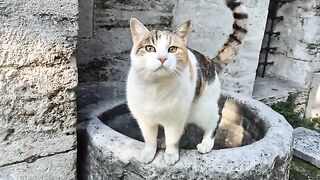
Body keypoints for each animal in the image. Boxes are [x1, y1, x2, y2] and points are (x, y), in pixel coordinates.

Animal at [126, 0, 249, 165]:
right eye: (150, 48)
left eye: (172, 49)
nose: (162, 58)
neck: (156, 87)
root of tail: (210, 61)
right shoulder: (145, 119)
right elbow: (150, 139)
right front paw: (149, 153)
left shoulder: (175, 118)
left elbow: (173, 138)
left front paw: (171, 155)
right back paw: (162, 142)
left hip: (202, 109)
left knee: (215, 119)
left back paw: (206, 144)